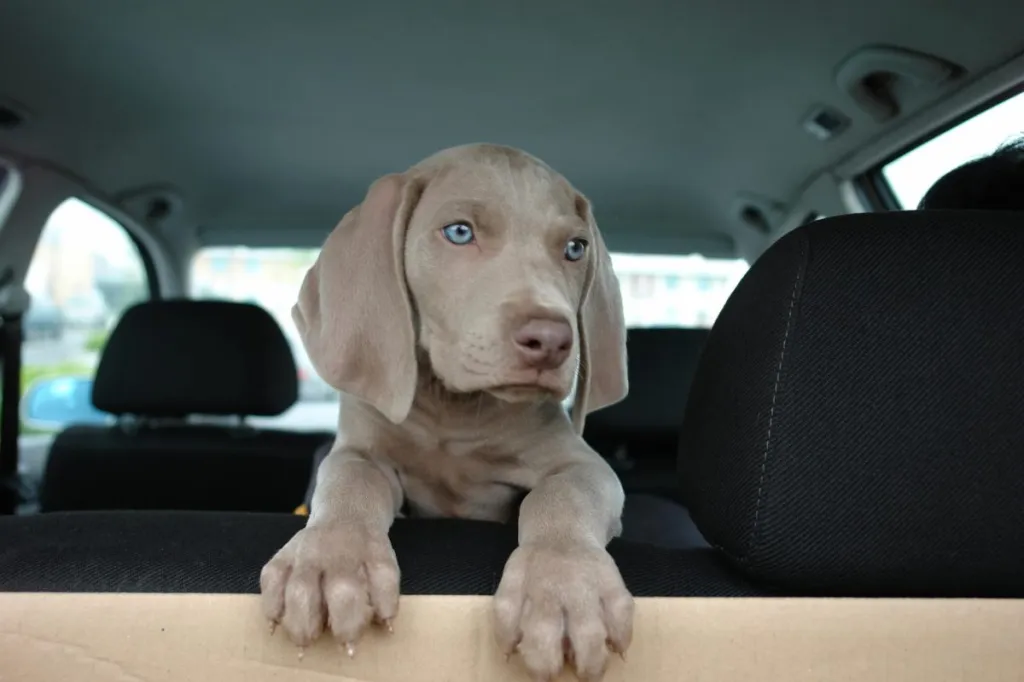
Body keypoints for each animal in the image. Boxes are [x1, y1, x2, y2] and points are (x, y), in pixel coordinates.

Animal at [258, 140, 630, 675]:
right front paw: (329, 559)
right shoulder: (361, 449)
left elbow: (561, 496)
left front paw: (563, 588)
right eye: (459, 232)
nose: (552, 341)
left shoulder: (583, 465)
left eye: (575, 249)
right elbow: (349, 479)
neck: (454, 409)